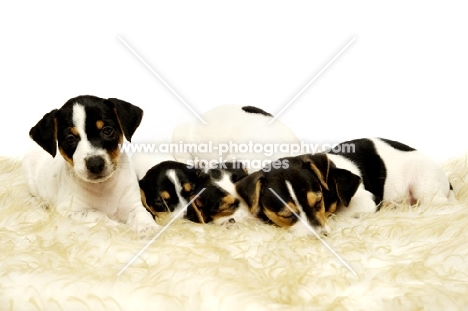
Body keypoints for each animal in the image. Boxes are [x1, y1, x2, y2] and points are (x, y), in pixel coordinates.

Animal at [22, 95, 160, 234]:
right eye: (70, 139)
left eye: (107, 130)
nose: (95, 164)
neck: (102, 187)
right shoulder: (69, 210)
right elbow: (96, 215)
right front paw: (118, 228)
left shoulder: (133, 204)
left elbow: (140, 214)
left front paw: (149, 228)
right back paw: (40, 203)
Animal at [236, 138, 456, 235]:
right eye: (286, 214)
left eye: (319, 203)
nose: (321, 236)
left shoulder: (367, 201)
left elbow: (341, 213)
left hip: (424, 185)